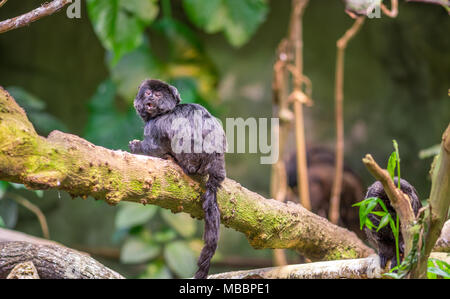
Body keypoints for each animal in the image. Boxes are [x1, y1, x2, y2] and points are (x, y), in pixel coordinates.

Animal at [128, 79, 225, 278]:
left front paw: (137, 147)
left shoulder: (155, 126)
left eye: (158, 95)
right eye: (148, 92)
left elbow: (153, 148)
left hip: (190, 156)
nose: (150, 98)